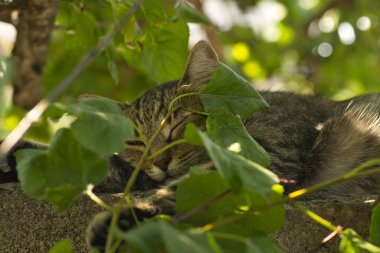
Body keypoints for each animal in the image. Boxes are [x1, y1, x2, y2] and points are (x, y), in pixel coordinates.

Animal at [0, 41, 380, 251]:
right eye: (137, 141)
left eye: (178, 126)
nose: (160, 161)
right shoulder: (138, 173)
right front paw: (16, 157)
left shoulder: (257, 161)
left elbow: (176, 191)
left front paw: (123, 221)